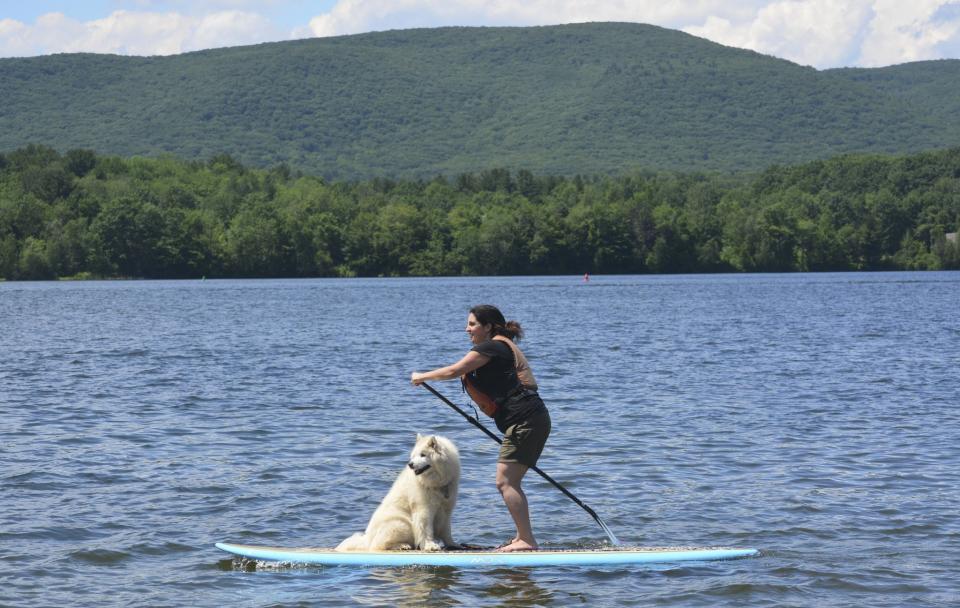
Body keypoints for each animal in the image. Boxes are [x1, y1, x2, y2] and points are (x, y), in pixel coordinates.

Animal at [334, 432, 462, 552]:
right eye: (413, 456)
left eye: (423, 455)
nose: (410, 464)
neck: (437, 482)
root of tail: (367, 539)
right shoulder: (424, 509)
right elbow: (425, 529)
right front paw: (430, 545)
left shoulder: (446, 509)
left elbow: (447, 530)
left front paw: (453, 544)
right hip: (402, 524)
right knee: (378, 545)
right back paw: (402, 545)